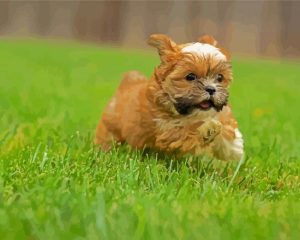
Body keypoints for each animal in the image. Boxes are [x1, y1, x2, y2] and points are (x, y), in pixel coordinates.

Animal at [95, 33, 245, 160]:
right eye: (190, 76)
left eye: (220, 77)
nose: (211, 89)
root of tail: (128, 82)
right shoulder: (167, 129)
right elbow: (188, 131)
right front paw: (207, 129)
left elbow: (225, 126)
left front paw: (232, 149)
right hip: (111, 126)